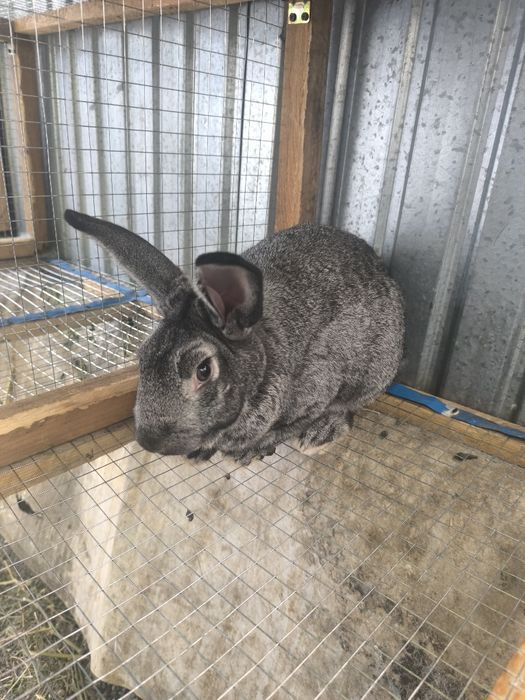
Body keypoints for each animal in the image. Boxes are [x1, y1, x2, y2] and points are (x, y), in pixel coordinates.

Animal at [64, 210, 405, 464]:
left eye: (203, 370)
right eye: (142, 358)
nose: (150, 441)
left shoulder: (319, 385)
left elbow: (298, 421)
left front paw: (254, 448)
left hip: (376, 368)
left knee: (349, 406)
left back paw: (322, 433)